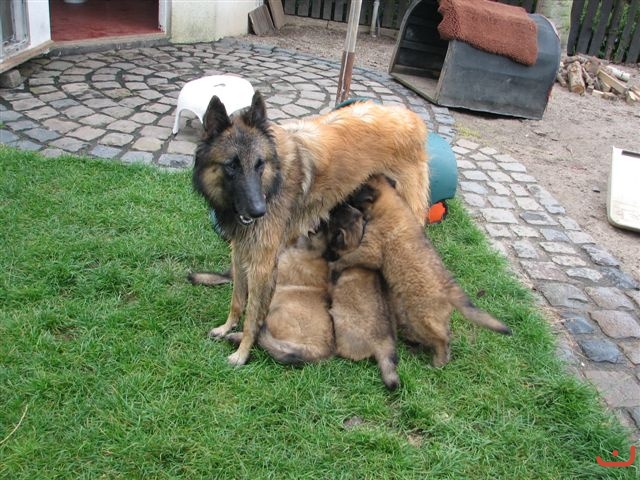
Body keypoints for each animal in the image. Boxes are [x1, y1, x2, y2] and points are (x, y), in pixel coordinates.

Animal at [330, 175, 511, 368]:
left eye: (355, 193)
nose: (340, 201)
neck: (391, 204)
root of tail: (450, 289)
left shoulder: (371, 249)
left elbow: (348, 258)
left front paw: (334, 265)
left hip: (420, 317)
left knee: (441, 339)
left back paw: (437, 362)